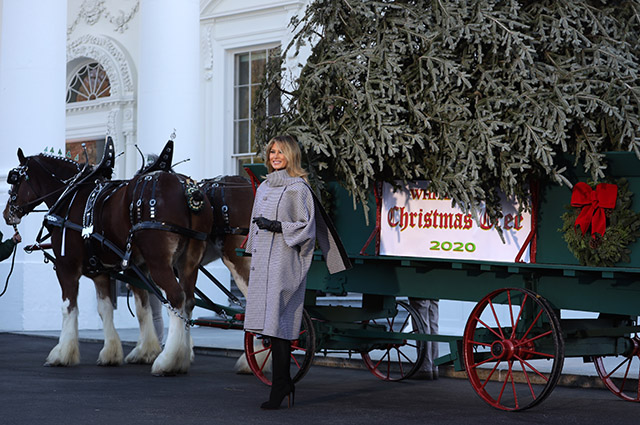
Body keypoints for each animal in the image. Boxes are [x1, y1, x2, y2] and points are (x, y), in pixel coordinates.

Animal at [3, 140, 214, 374]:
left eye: (14, 179)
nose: (7, 213)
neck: (72, 196)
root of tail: (188, 188)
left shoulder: (67, 266)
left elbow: (68, 307)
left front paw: (62, 353)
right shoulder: (104, 271)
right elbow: (117, 309)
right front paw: (121, 352)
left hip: (159, 262)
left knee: (176, 298)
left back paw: (169, 361)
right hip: (188, 262)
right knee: (189, 301)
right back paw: (183, 354)